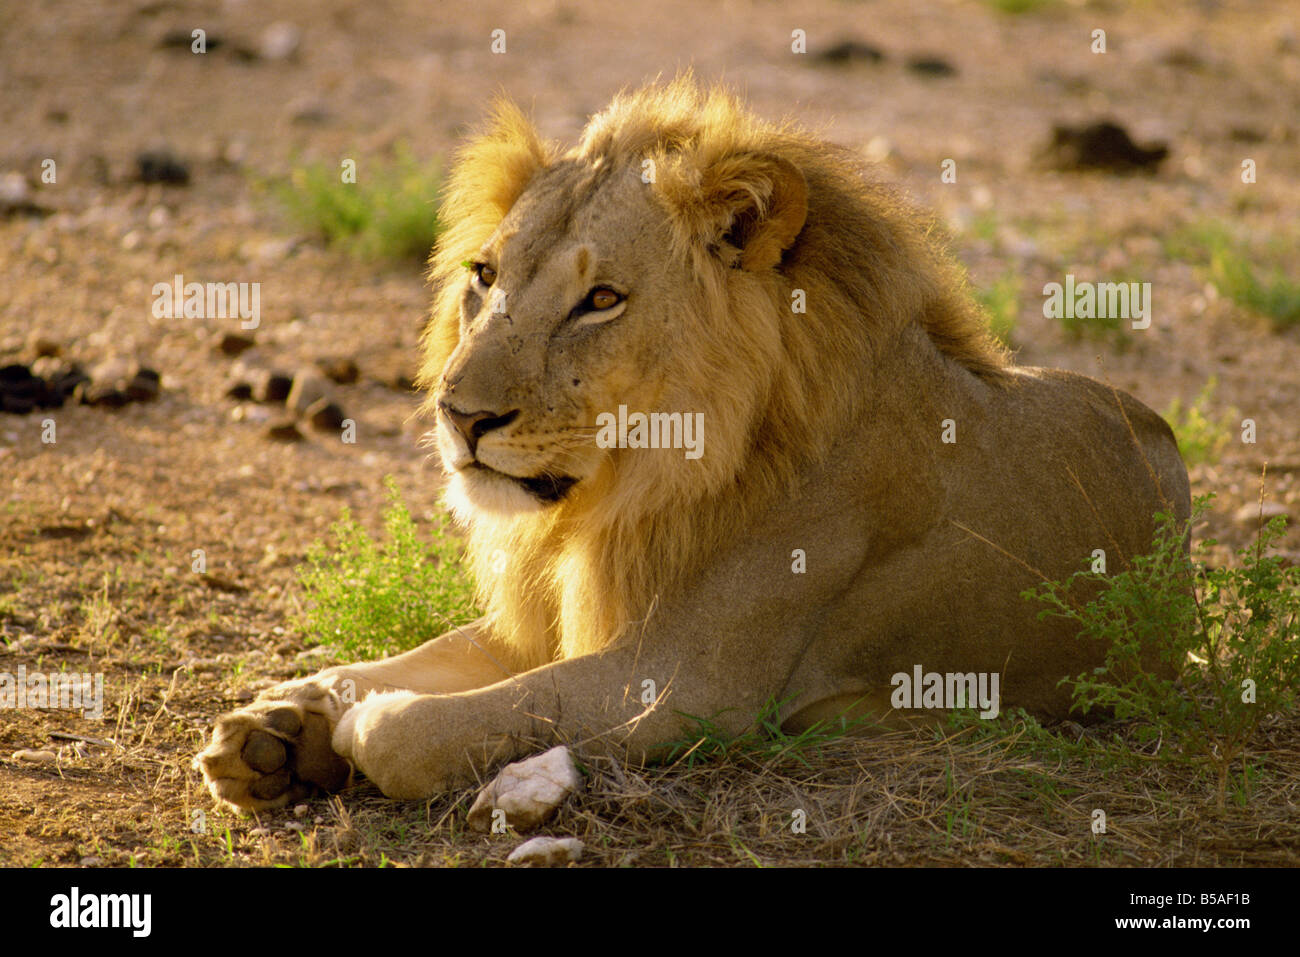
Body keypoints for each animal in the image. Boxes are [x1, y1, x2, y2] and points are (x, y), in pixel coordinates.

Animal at [198, 78, 1190, 810]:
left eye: (600, 300)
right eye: (484, 275)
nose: (458, 414)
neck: (623, 493)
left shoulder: (687, 685)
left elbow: (409, 726)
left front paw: (343, 733)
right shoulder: (557, 619)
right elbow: (396, 663)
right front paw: (275, 728)